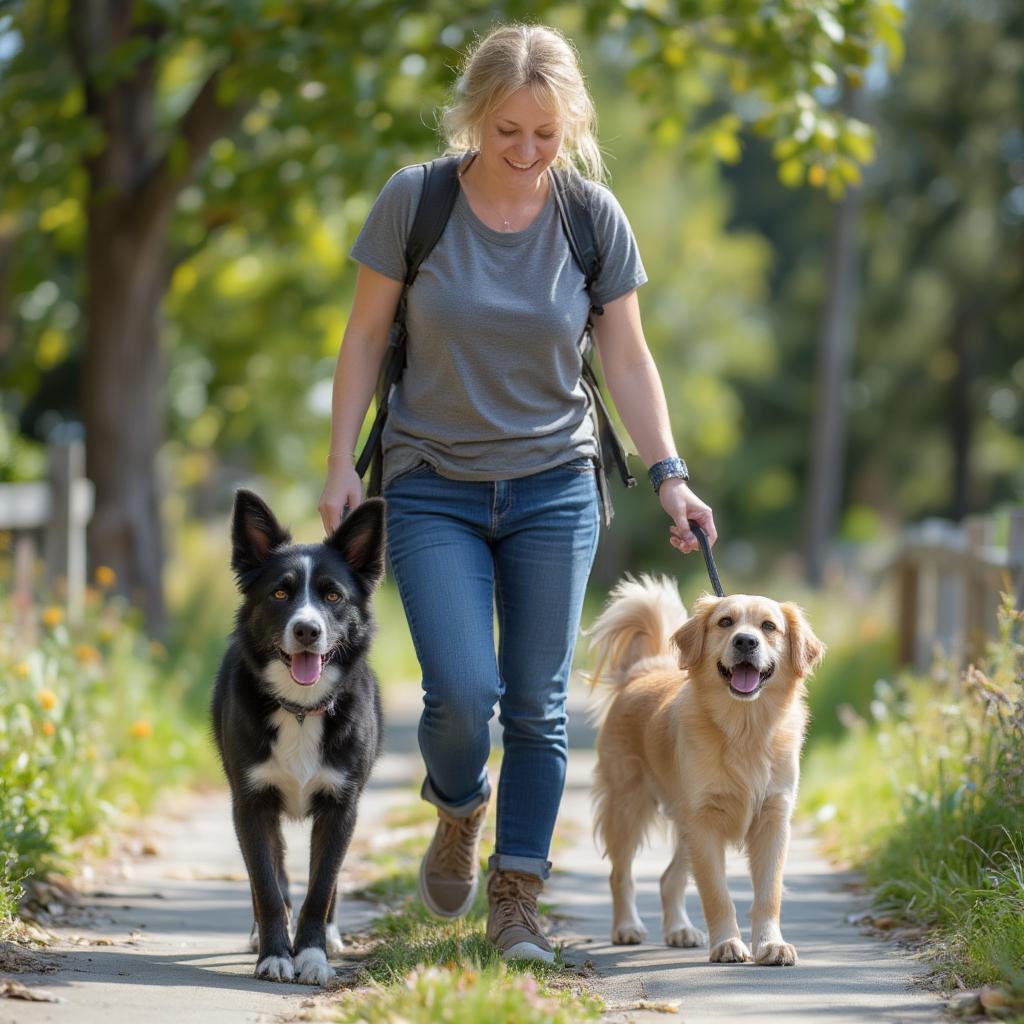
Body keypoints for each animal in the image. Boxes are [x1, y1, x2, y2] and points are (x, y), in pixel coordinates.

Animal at [211, 491, 385, 987]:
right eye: (280, 593)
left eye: (332, 595)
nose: (307, 629)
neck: (302, 711)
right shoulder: (250, 805)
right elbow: (267, 887)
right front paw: (274, 956)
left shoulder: (342, 807)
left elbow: (321, 887)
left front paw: (312, 955)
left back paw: (330, 935)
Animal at [585, 581, 823, 962]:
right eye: (725, 622)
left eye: (769, 626)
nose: (746, 641)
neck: (744, 728)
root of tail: (644, 671)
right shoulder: (704, 822)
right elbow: (717, 893)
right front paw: (727, 943)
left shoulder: (773, 819)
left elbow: (768, 893)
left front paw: (770, 944)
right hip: (628, 807)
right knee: (620, 874)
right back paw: (626, 927)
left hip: (682, 826)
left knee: (669, 879)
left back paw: (679, 929)